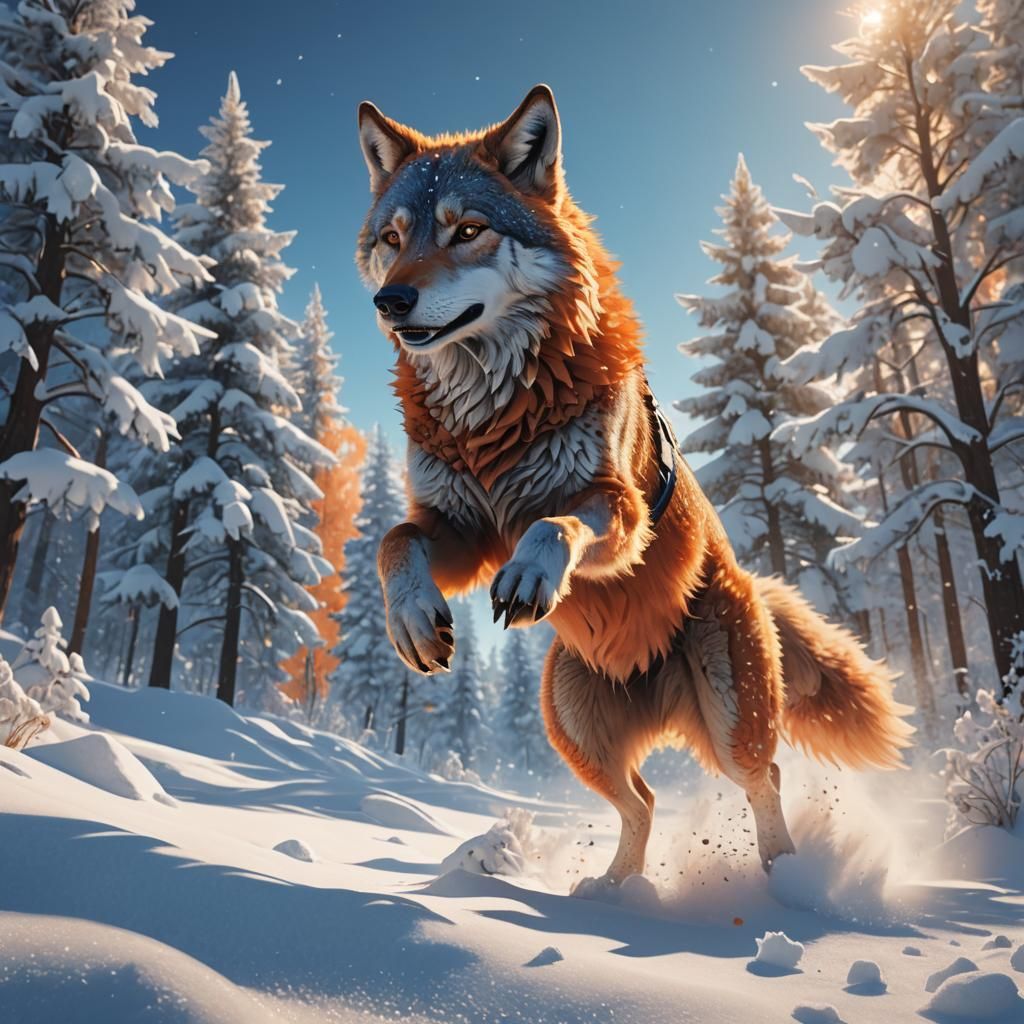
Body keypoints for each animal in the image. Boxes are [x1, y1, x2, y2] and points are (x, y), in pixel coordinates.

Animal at [355, 85, 912, 892]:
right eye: (394, 238)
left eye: (468, 230)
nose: (392, 302)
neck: (491, 414)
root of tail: (754, 583)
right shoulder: (461, 530)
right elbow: (394, 540)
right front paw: (413, 622)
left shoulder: (617, 508)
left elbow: (553, 524)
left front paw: (532, 573)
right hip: (572, 727)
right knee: (643, 801)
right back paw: (612, 891)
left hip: (728, 716)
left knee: (764, 778)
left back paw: (788, 884)